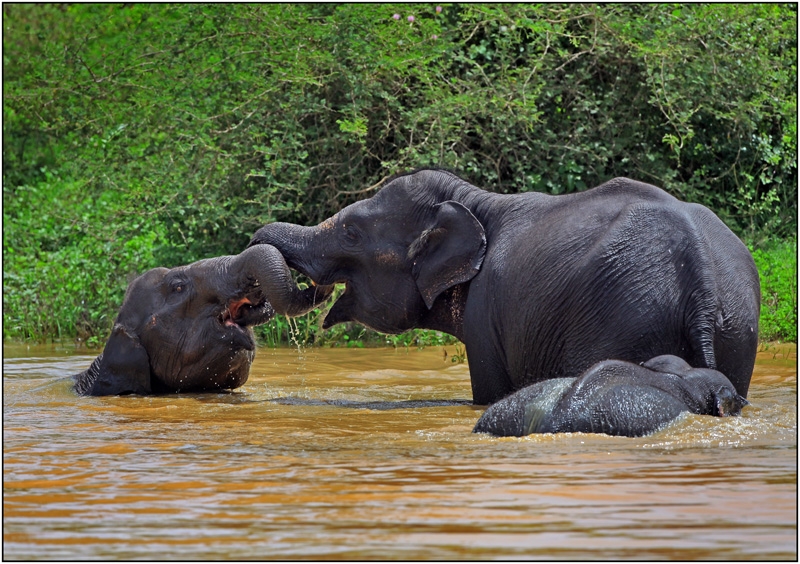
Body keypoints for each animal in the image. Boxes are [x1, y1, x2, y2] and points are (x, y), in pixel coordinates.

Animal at [250, 170, 764, 404]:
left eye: (352, 233)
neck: (472, 200)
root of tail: (699, 275)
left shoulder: (486, 312)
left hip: (628, 316)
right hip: (737, 327)